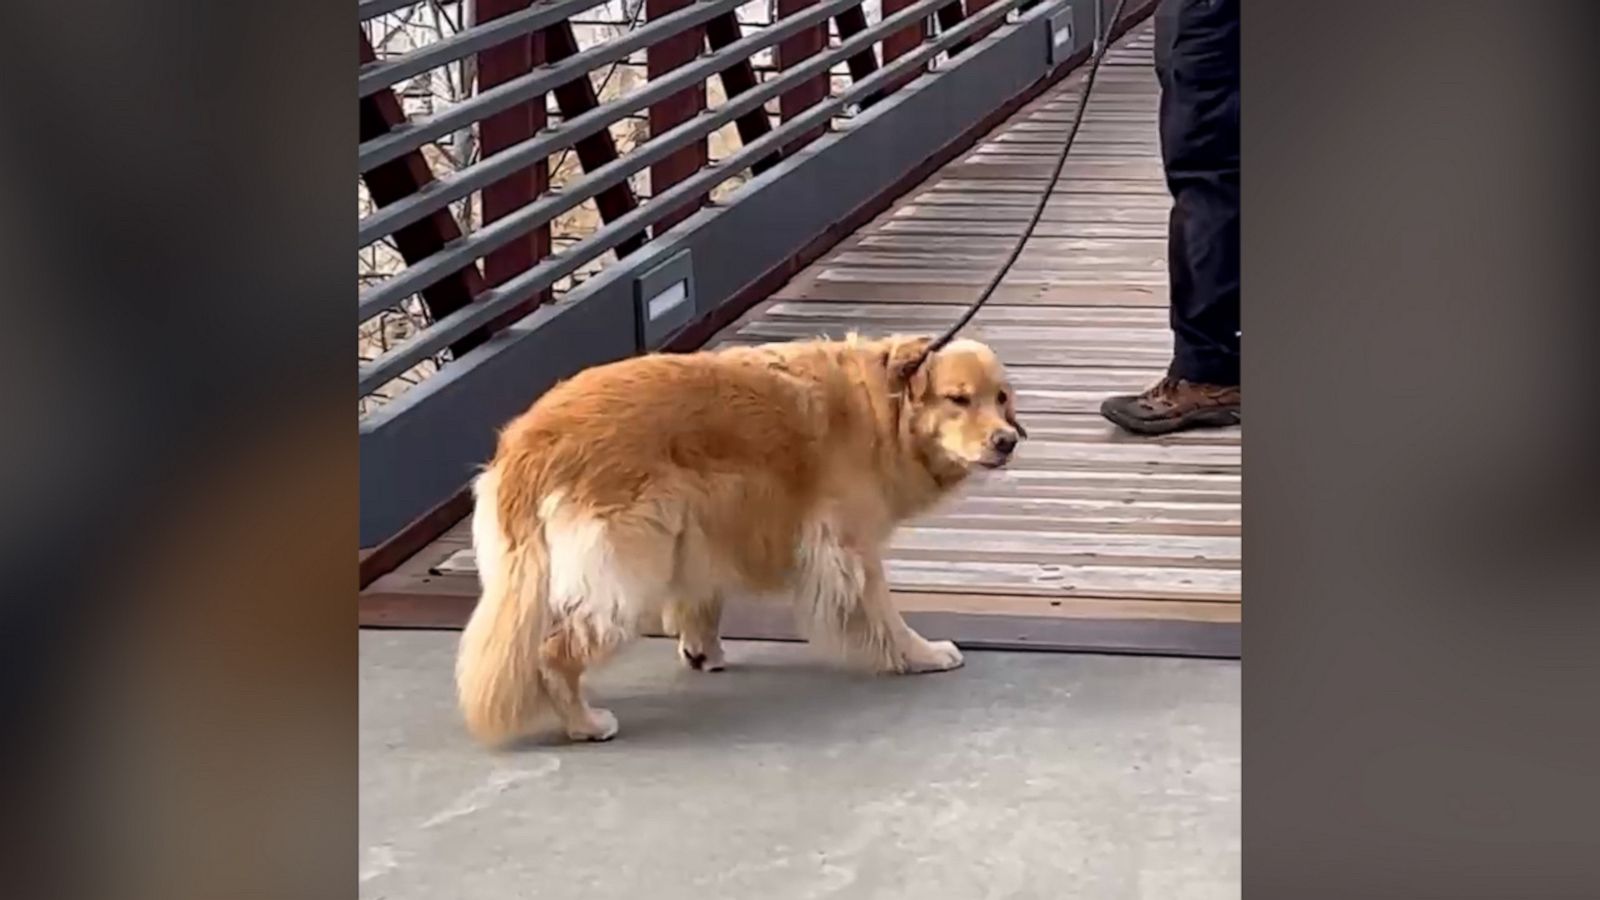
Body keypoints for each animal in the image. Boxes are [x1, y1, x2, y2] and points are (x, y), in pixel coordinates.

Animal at [454, 331, 1024, 743]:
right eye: (958, 399)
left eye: (1001, 399)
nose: (1007, 441)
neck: (883, 407)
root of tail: (529, 443)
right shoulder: (848, 546)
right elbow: (884, 614)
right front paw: (919, 655)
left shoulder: (704, 526)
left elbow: (701, 599)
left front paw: (701, 649)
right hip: (627, 571)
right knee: (555, 654)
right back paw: (585, 724)